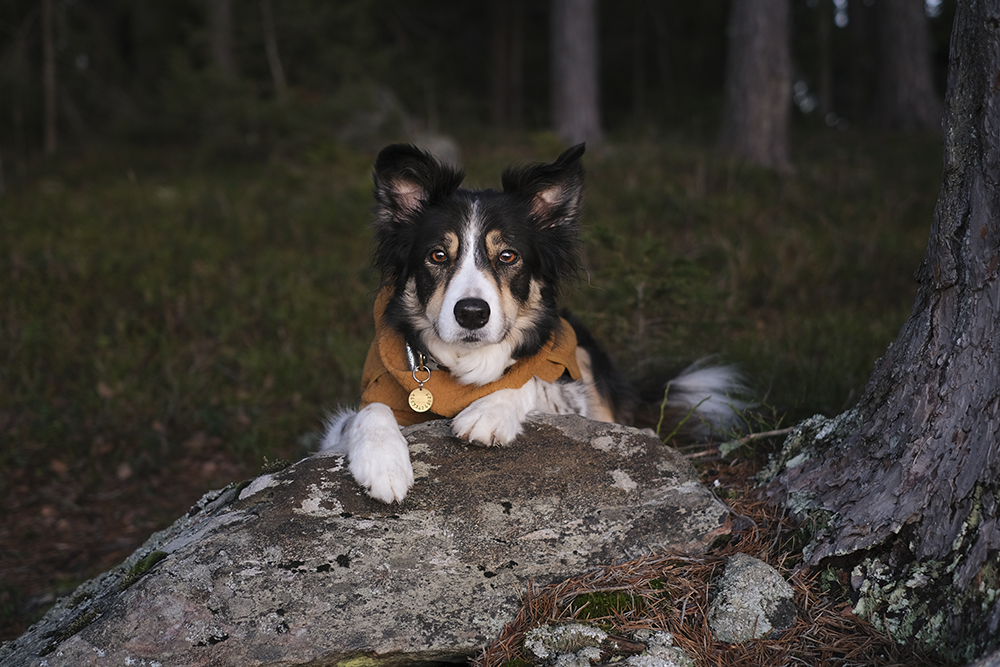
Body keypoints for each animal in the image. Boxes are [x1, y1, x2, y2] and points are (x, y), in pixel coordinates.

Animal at [318, 144, 744, 504]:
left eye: (508, 256)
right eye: (438, 255)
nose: (471, 313)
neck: (463, 364)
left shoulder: (573, 392)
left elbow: (532, 378)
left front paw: (487, 414)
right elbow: (370, 411)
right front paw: (383, 465)